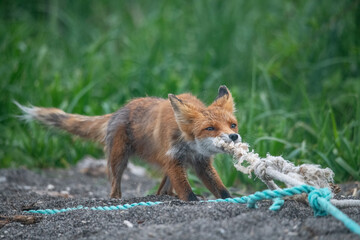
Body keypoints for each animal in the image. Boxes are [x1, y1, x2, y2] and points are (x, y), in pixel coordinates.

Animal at [17, 86, 242, 201]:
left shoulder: (201, 163)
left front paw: (229, 201)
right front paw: (192, 201)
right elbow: (187, 193)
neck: (190, 146)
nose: (234, 137)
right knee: (115, 189)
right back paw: (117, 200)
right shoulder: (174, 160)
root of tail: (118, 111)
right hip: (118, 161)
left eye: (233, 125)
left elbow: (222, 190)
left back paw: (163, 197)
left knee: (162, 190)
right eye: (210, 128)